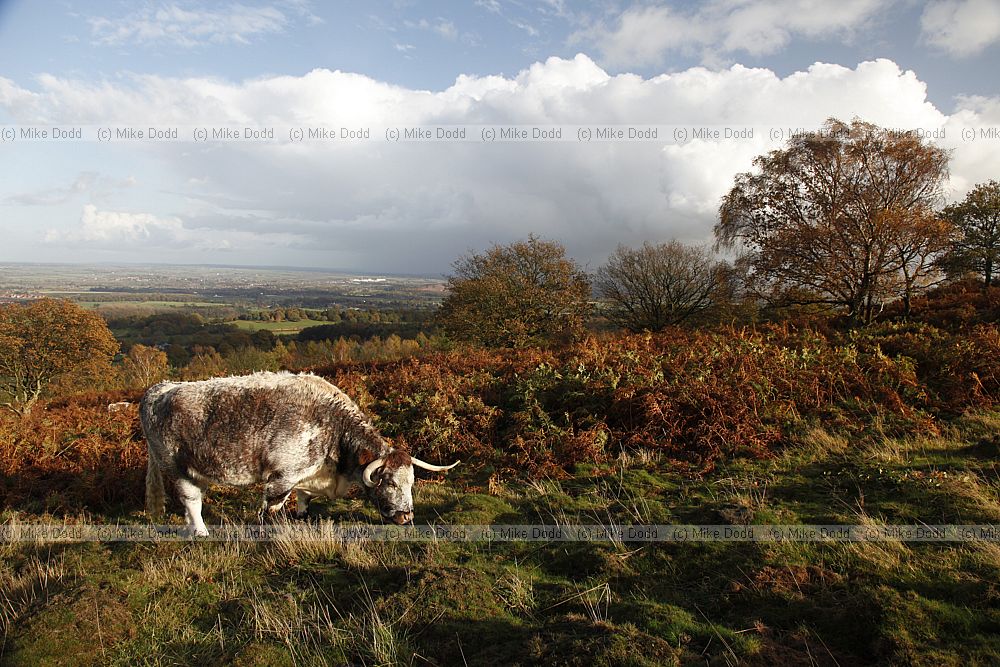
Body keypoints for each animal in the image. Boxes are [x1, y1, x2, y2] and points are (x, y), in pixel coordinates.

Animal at [139, 371, 459, 536]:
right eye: (390, 483)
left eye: (411, 483)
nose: (407, 517)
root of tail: (158, 390)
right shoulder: (282, 477)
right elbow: (270, 509)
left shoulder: (308, 474)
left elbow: (304, 497)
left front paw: (303, 515)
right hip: (175, 468)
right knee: (192, 500)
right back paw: (201, 531)